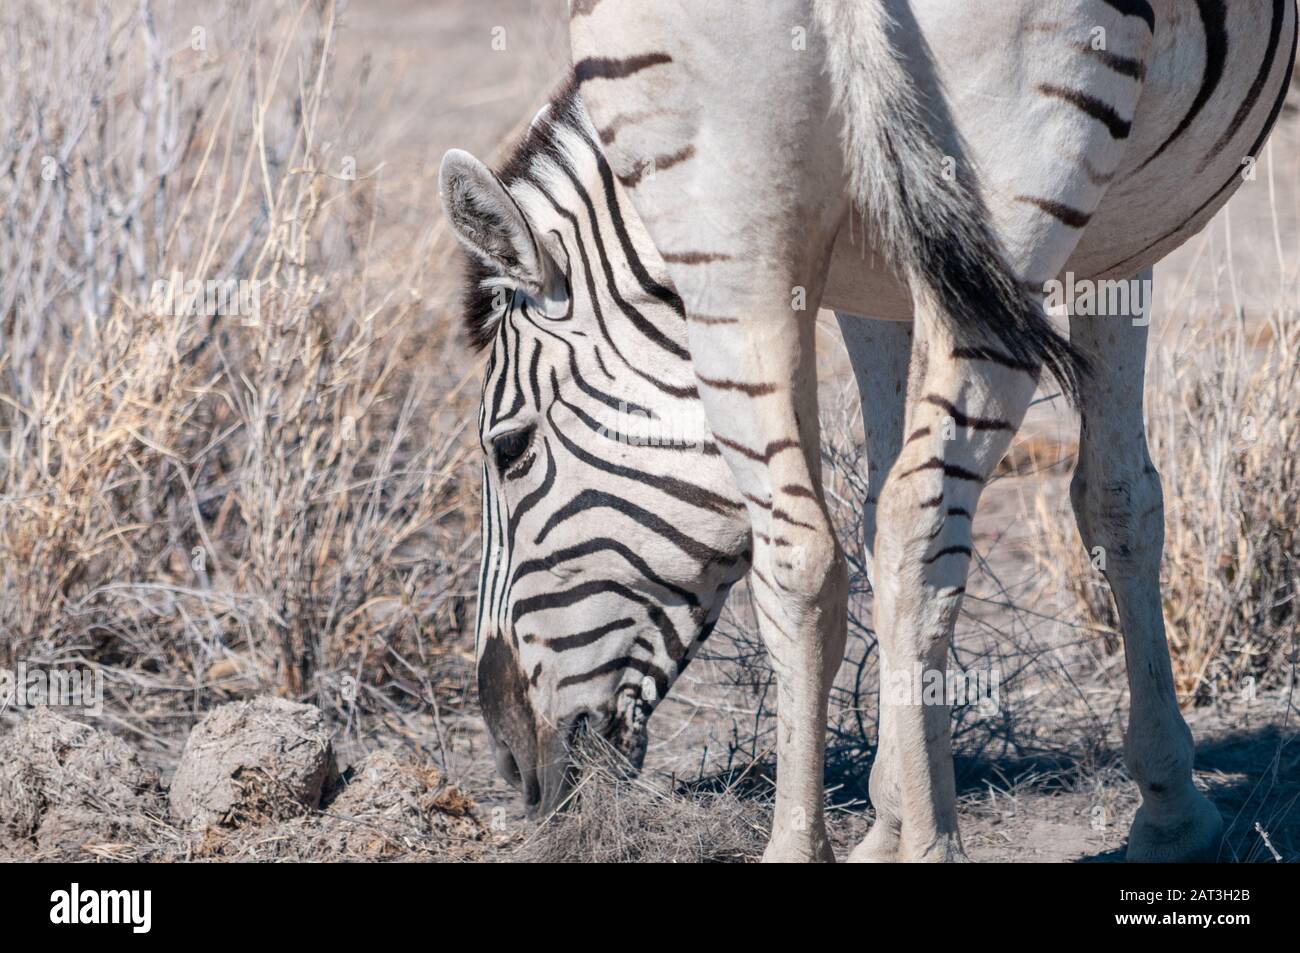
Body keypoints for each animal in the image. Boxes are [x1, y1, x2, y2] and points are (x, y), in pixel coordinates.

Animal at [439, 0, 1296, 861]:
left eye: (508, 448)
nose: (511, 762)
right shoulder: (1096, 251)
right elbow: (1112, 502)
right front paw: (1167, 808)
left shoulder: (883, 280)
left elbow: (911, 515)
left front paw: (892, 816)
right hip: (1009, 178)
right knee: (921, 530)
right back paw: (933, 844)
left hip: (736, 229)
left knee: (804, 554)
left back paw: (808, 841)